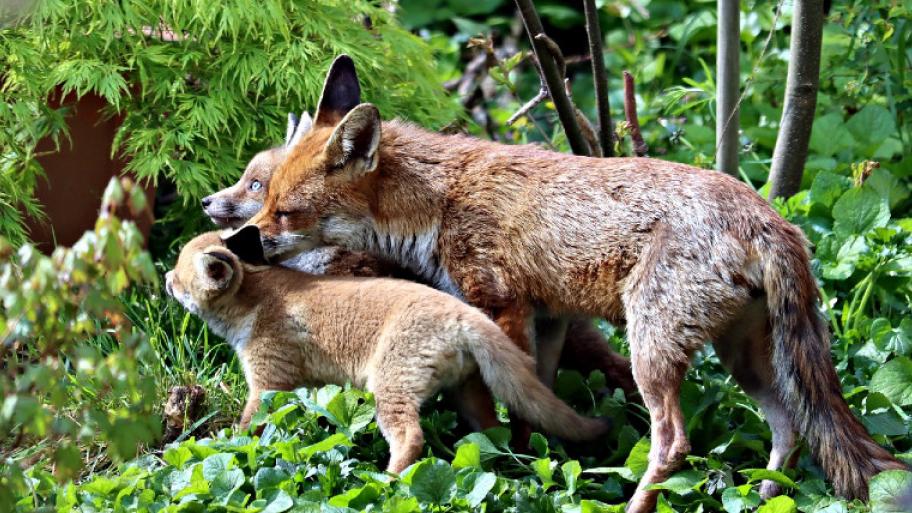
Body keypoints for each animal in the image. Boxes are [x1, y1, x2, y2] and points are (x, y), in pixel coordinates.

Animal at [165, 231, 608, 473]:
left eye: (179, 273)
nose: (165, 279)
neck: (256, 302)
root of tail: (465, 315)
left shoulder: (269, 381)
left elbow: (247, 428)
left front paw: (224, 447)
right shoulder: (305, 387)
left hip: (389, 391)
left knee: (411, 438)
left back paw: (390, 480)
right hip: (467, 395)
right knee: (490, 435)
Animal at [231, 55, 906, 511]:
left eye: (283, 211)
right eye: (265, 199)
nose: (240, 242)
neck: (438, 202)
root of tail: (770, 216)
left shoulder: (499, 305)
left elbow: (503, 404)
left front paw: (511, 464)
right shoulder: (548, 317)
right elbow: (540, 399)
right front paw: (541, 461)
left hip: (653, 349)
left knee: (674, 442)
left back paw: (637, 503)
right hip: (745, 358)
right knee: (790, 426)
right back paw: (766, 495)